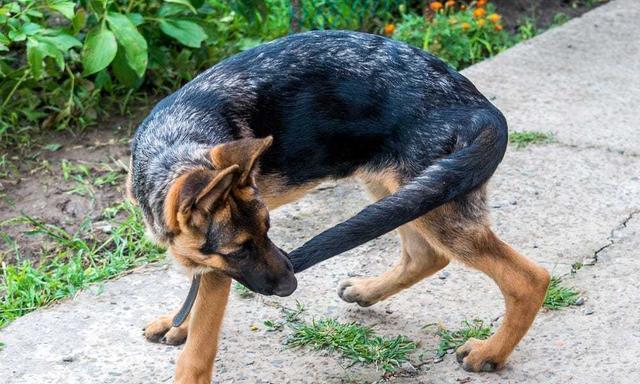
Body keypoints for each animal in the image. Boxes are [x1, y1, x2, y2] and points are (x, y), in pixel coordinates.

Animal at [129, 30, 552, 384]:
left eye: (268, 230)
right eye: (242, 248)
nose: (292, 284)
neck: (173, 144)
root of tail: (482, 109)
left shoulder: (218, 271)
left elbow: (200, 344)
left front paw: (188, 341)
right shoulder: (209, 259)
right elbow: (195, 293)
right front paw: (178, 323)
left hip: (435, 202)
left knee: (528, 279)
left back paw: (490, 353)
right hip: (404, 192)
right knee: (426, 256)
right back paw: (368, 292)